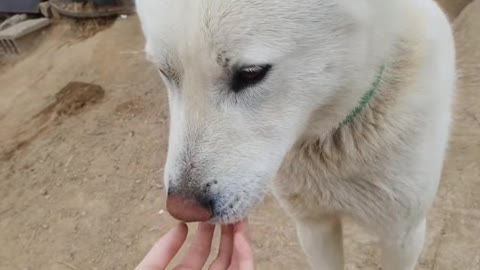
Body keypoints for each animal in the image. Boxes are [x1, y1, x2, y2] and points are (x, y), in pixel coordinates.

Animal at [137, 0, 456, 268]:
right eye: (165, 72)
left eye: (251, 73)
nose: (182, 210)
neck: (335, 138)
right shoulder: (313, 226)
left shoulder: (402, 234)